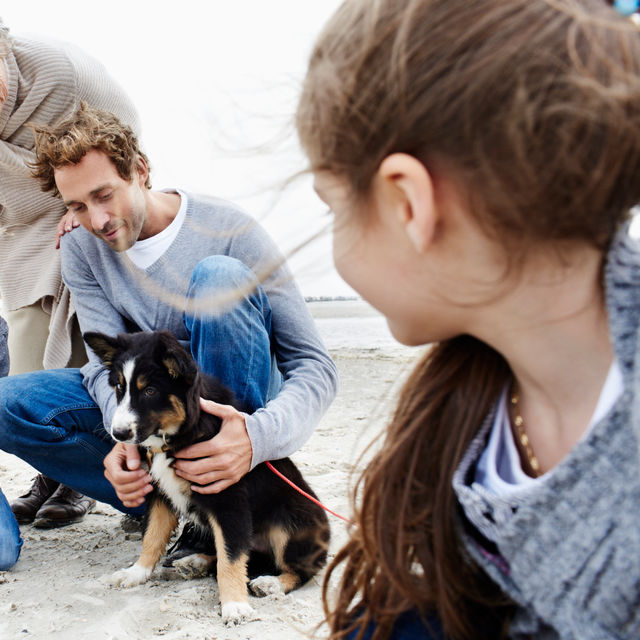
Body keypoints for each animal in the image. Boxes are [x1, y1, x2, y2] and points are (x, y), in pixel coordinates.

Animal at [84, 330, 330, 624]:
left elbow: (230, 559)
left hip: (291, 524)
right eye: (120, 388)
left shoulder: (228, 499)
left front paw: (235, 605)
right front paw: (136, 572)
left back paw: (271, 583)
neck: (176, 436)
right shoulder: (161, 492)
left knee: (302, 569)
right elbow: (152, 536)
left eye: (150, 391)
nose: (118, 434)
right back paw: (195, 562)